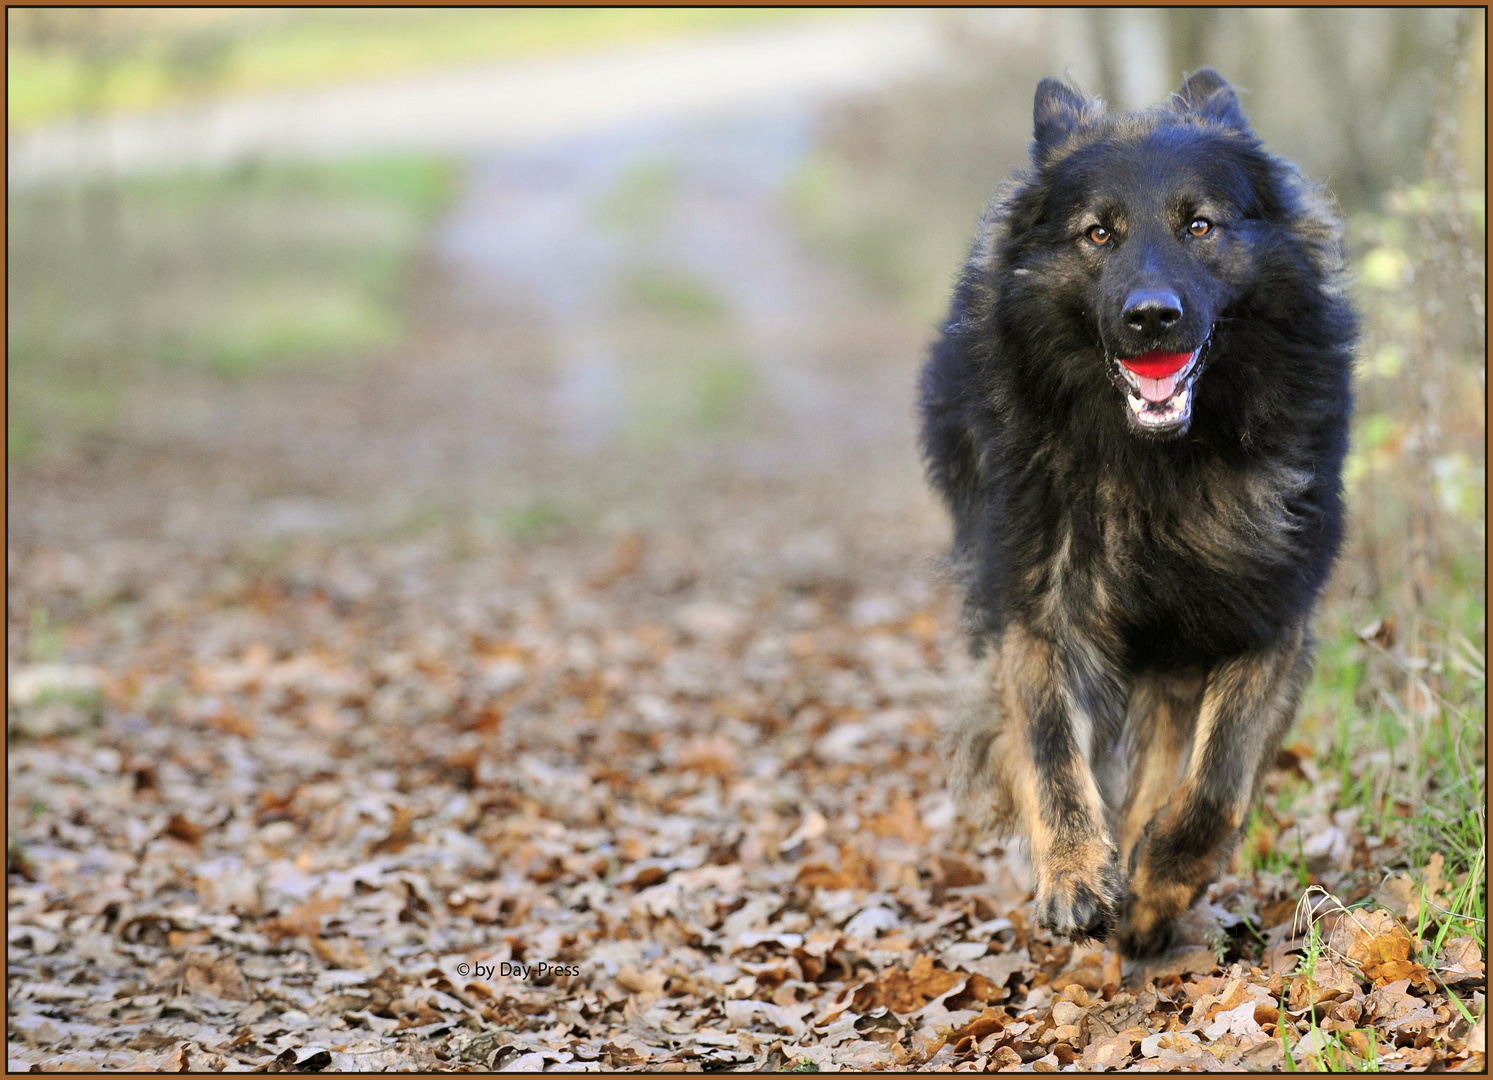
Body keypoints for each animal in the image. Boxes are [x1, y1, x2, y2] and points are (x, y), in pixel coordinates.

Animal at [919, 69, 1355, 956]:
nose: (1151, 316)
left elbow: (1215, 784)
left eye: (1199, 225)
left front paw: (1156, 884)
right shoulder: (1038, 612)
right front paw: (1075, 875)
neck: (1160, 470)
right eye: (1097, 234)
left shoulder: (1264, 615)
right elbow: (1051, 750)